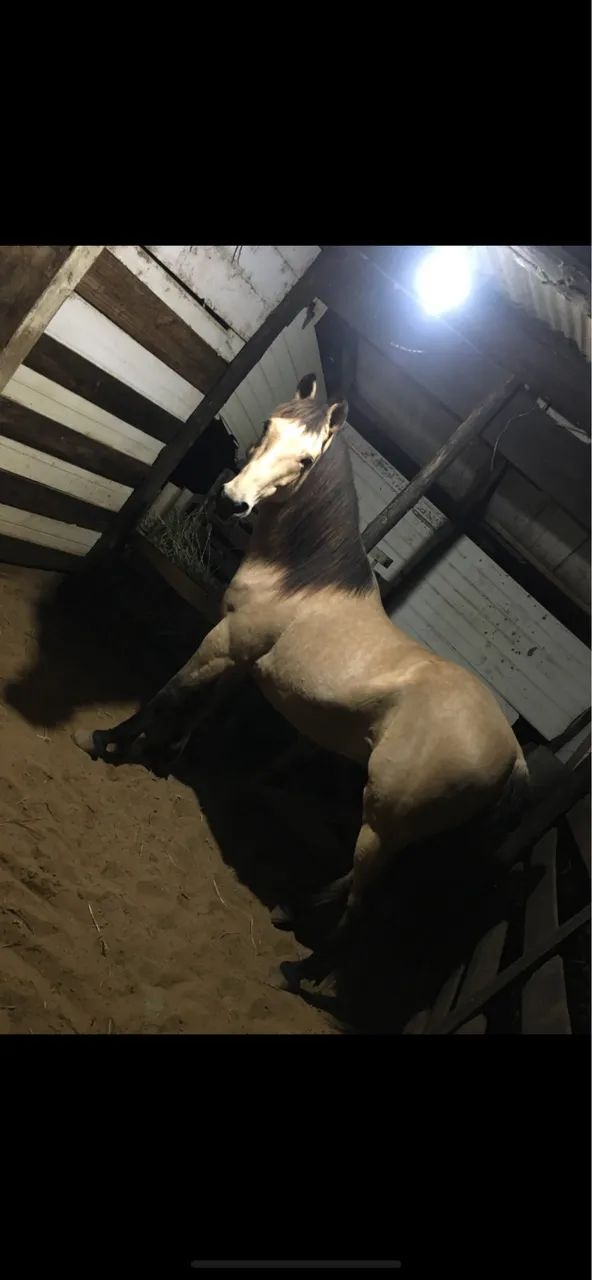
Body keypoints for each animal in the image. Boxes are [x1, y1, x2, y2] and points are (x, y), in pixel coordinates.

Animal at [74, 373, 530, 991]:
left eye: (308, 458)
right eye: (270, 424)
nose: (232, 500)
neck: (300, 580)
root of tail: (513, 753)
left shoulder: (225, 639)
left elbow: (171, 692)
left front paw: (109, 741)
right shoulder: (241, 657)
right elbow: (202, 707)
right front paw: (162, 754)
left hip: (384, 823)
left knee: (367, 909)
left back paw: (297, 970)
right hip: (399, 834)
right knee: (360, 886)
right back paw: (289, 908)